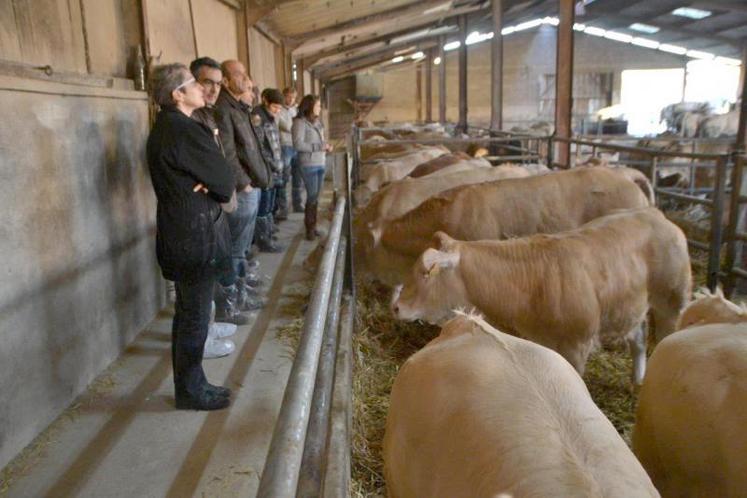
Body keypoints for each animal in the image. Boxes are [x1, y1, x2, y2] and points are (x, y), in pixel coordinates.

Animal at [394, 207, 692, 382]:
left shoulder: (577, 344)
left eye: (426, 272)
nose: (396, 307)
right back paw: (637, 380)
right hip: (632, 307)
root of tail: (655, 215)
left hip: (672, 300)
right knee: (639, 339)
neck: (534, 283)